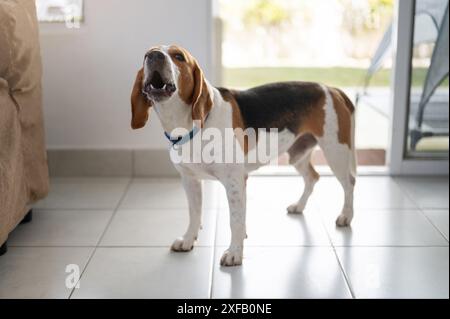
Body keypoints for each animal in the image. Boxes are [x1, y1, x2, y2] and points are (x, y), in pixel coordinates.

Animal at [132, 43, 356, 266]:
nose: (154, 56)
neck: (190, 124)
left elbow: (236, 221)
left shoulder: (234, 181)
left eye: (178, 56)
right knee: (312, 177)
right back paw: (299, 206)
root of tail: (331, 88)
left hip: (336, 151)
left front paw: (235, 252)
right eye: (146, 55)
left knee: (349, 183)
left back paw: (346, 216)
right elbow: (194, 214)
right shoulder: (190, 180)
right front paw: (188, 239)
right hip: (297, 154)